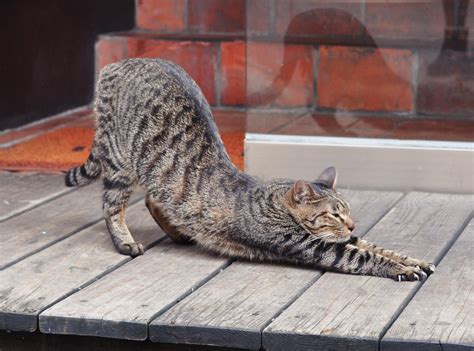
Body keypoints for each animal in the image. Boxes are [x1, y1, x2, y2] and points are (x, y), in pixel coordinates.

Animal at [65, 58, 436, 284]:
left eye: (348, 212)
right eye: (333, 213)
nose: (352, 224)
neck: (275, 202)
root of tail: (116, 65)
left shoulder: (343, 238)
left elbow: (377, 246)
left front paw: (413, 260)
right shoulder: (313, 245)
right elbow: (365, 256)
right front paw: (401, 268)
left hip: (159, 179)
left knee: (156, 199)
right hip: (119, 162)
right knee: (112, 206)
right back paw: (126, 242)